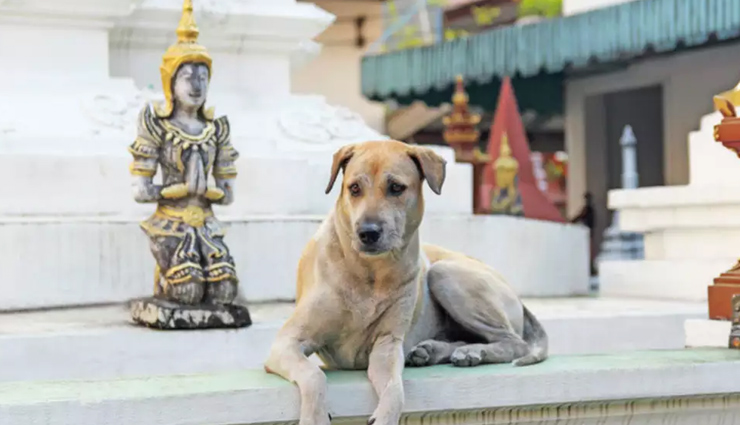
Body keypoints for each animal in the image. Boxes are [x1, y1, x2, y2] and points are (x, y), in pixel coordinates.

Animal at [264, 141, 548, 424]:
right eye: (354, 188)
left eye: (396, 187)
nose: (367, 232)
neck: (370, 271)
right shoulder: (287, 342)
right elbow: (314, 375)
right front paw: (315, 416)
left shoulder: (387, 346)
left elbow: (395, 390)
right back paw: (438, 351)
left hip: (444, 273)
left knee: (515, 342)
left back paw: (469, 352)